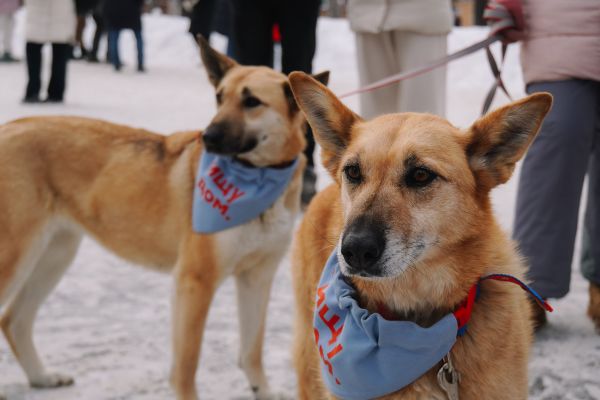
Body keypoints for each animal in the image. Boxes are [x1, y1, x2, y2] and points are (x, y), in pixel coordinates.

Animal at [0, 38, 326, 400]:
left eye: (252, 101)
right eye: (219, 97)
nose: (207, 136)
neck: (257, 179)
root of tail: (8, 127)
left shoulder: (257, 276)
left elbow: (252, 350)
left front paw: (263, 391)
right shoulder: (194, 281)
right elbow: (186, 365)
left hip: (56, 254)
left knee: (14, 320)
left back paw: (42, 377)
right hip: (17, 255)